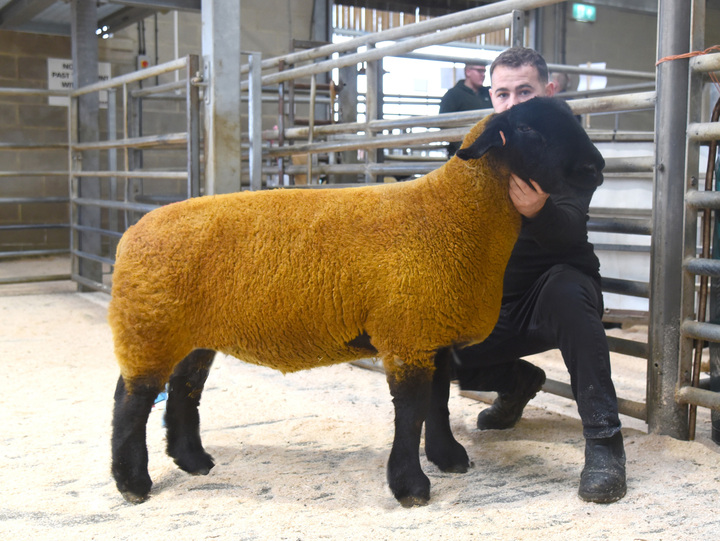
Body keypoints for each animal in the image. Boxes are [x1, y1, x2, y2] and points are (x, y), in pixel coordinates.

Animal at [109, 97, 604, 506]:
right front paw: (410, 487)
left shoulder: (433, 333)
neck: (451, 213)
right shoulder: (406, 336)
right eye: (529, 129)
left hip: (190, 334)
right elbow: (410, 413)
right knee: (130, 402)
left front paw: (448, 458)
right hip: (148, 327)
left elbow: (439, 403)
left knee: (183, 391)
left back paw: (194, 462)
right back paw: (134, 484)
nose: (596, 166)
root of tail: (132, 233)